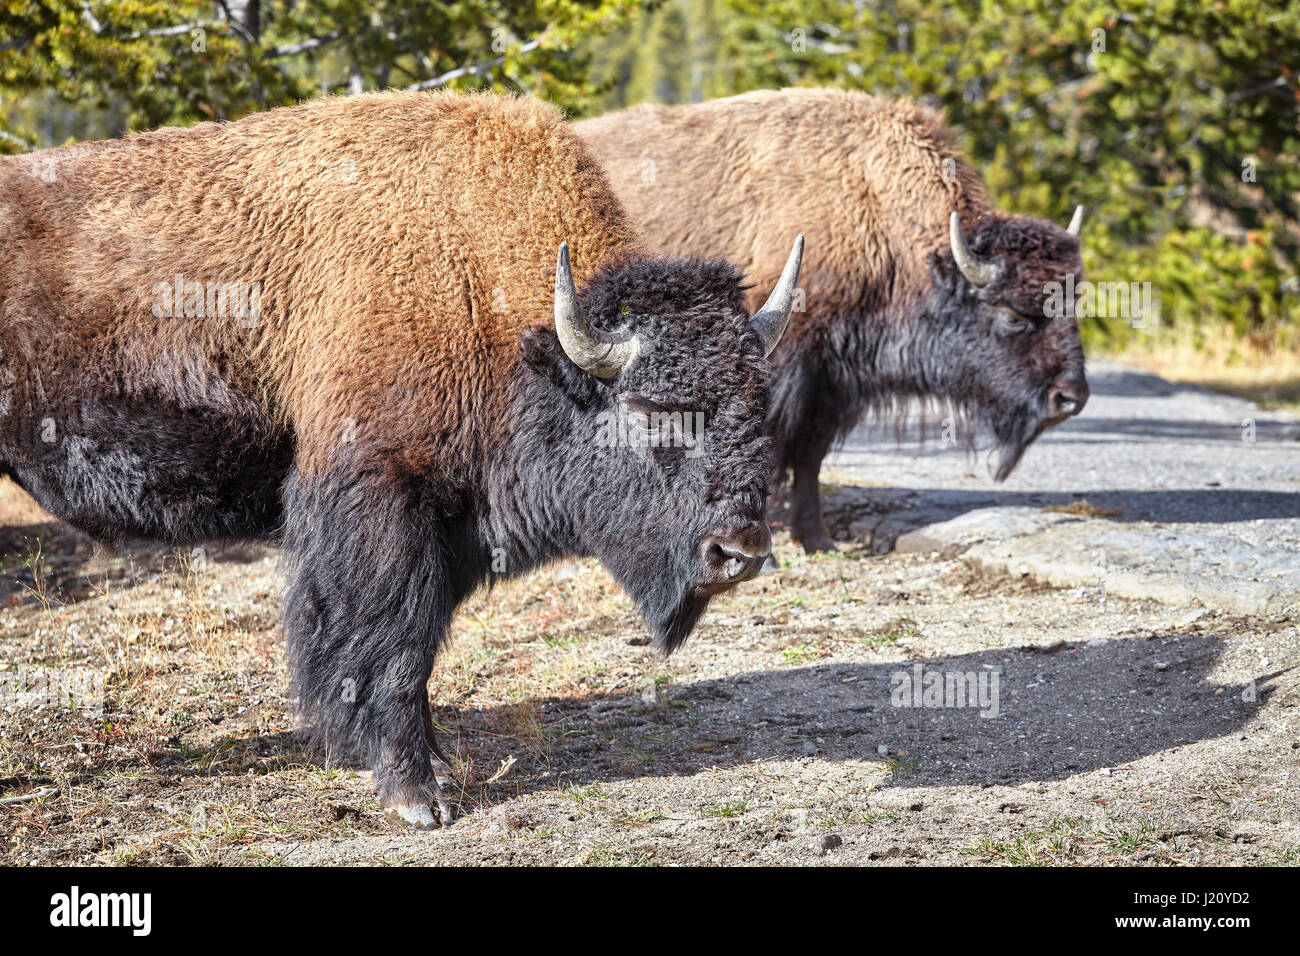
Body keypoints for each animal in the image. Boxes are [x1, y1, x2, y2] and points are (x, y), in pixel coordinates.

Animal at [0, 91, 800, 832]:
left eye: (756, 401)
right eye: (646, 408)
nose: (740, 551)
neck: (483, 286)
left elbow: (416, 646)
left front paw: (431, 768)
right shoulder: (383, 502)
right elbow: (391, 647)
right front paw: (420, 797)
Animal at [577, 91, 1086, 554]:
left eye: (1074, 301)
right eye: (1012, 314)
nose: (1071, 398)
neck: (874, 213)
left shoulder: (830, 386)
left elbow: (810, 459)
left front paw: (817, 538)